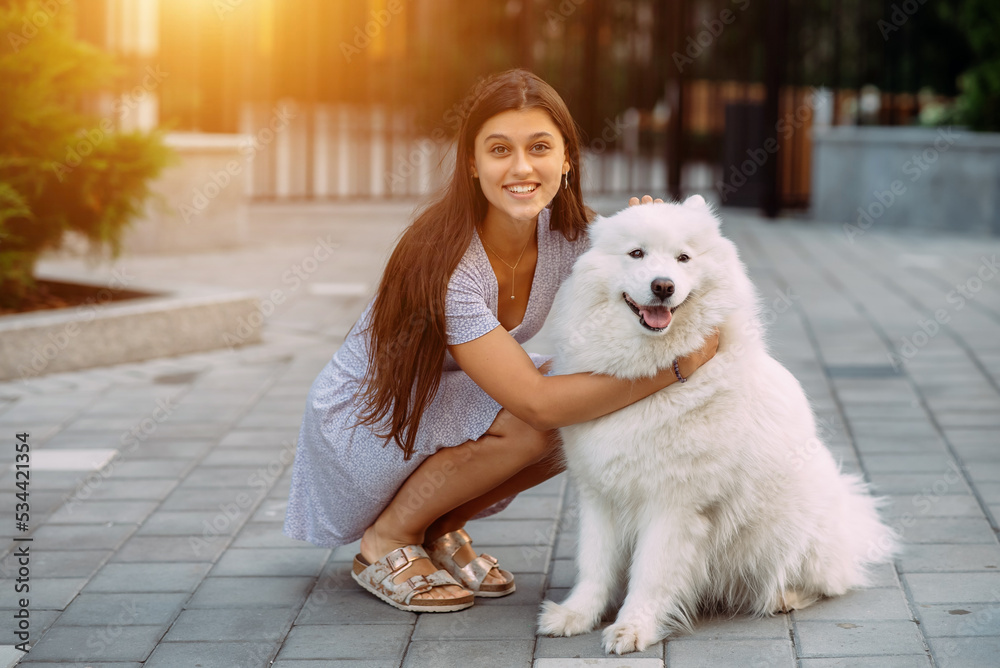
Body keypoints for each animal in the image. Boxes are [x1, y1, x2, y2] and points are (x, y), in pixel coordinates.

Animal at [540, 196, 900, 656]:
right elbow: (594, 565)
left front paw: (633, 628)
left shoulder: (673, 504)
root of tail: (851, 518)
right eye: (636, 254)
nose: (663, 286)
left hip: (790, 529)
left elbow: (650, 574)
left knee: (825, 584)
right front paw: (576, 615)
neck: (644, 379)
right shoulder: (598, 495)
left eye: (683, 258)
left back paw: (784, 596)